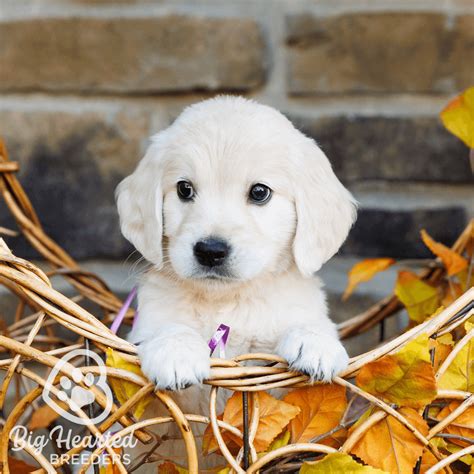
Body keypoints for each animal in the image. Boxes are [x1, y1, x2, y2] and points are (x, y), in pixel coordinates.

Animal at [117, 95, 356, 404]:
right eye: (184, 189)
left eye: (259, 192)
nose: (210, 251)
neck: (227, 300)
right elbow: (167, 327)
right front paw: (176, 351)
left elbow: (308, 323)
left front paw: (314, 341)